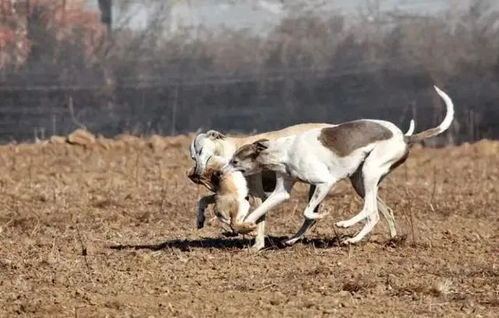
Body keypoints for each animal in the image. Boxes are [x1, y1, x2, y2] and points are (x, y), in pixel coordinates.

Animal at [229, 85, 456, 245]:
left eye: (235, 161)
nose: (221, 172)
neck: (283, 151)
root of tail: (405, 137)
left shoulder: (324, 183)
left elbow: (307, 212)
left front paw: (325, 214)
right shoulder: (281, 192)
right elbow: (260, 211)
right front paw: (245, 225)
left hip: (369, 172)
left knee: (370, 210)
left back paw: (345, 225)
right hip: (361, 181)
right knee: (377, 213)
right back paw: (358, 238)